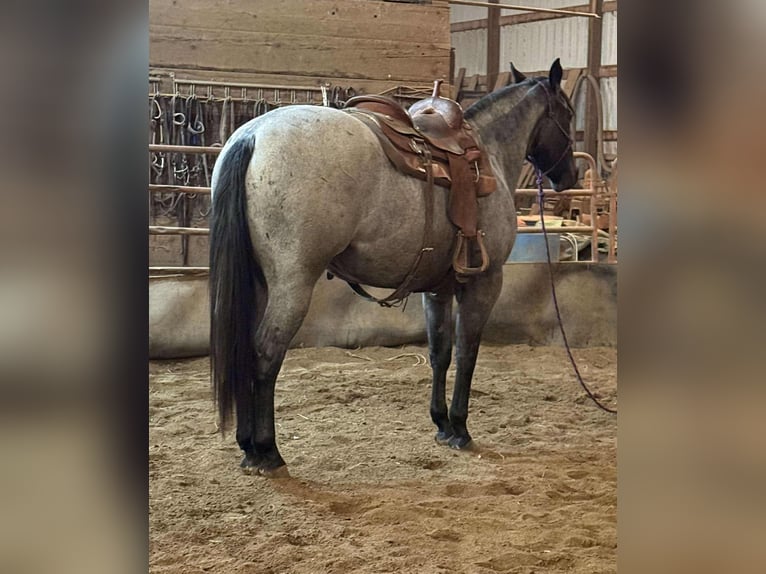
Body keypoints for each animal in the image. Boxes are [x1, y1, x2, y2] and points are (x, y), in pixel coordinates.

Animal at [209, 59, 578, 476]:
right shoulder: (485, 282)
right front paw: (460, 428)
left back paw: (246, 446)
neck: (488, 152)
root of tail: (253, 135)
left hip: (257, 284)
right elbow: (467, 353)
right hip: (292, 286)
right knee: (265, 355)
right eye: (568, 113)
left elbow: (440, 352)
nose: (571, 176)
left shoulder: (439, 288)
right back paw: (267, 451)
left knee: (243, 350)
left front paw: (442, 424)